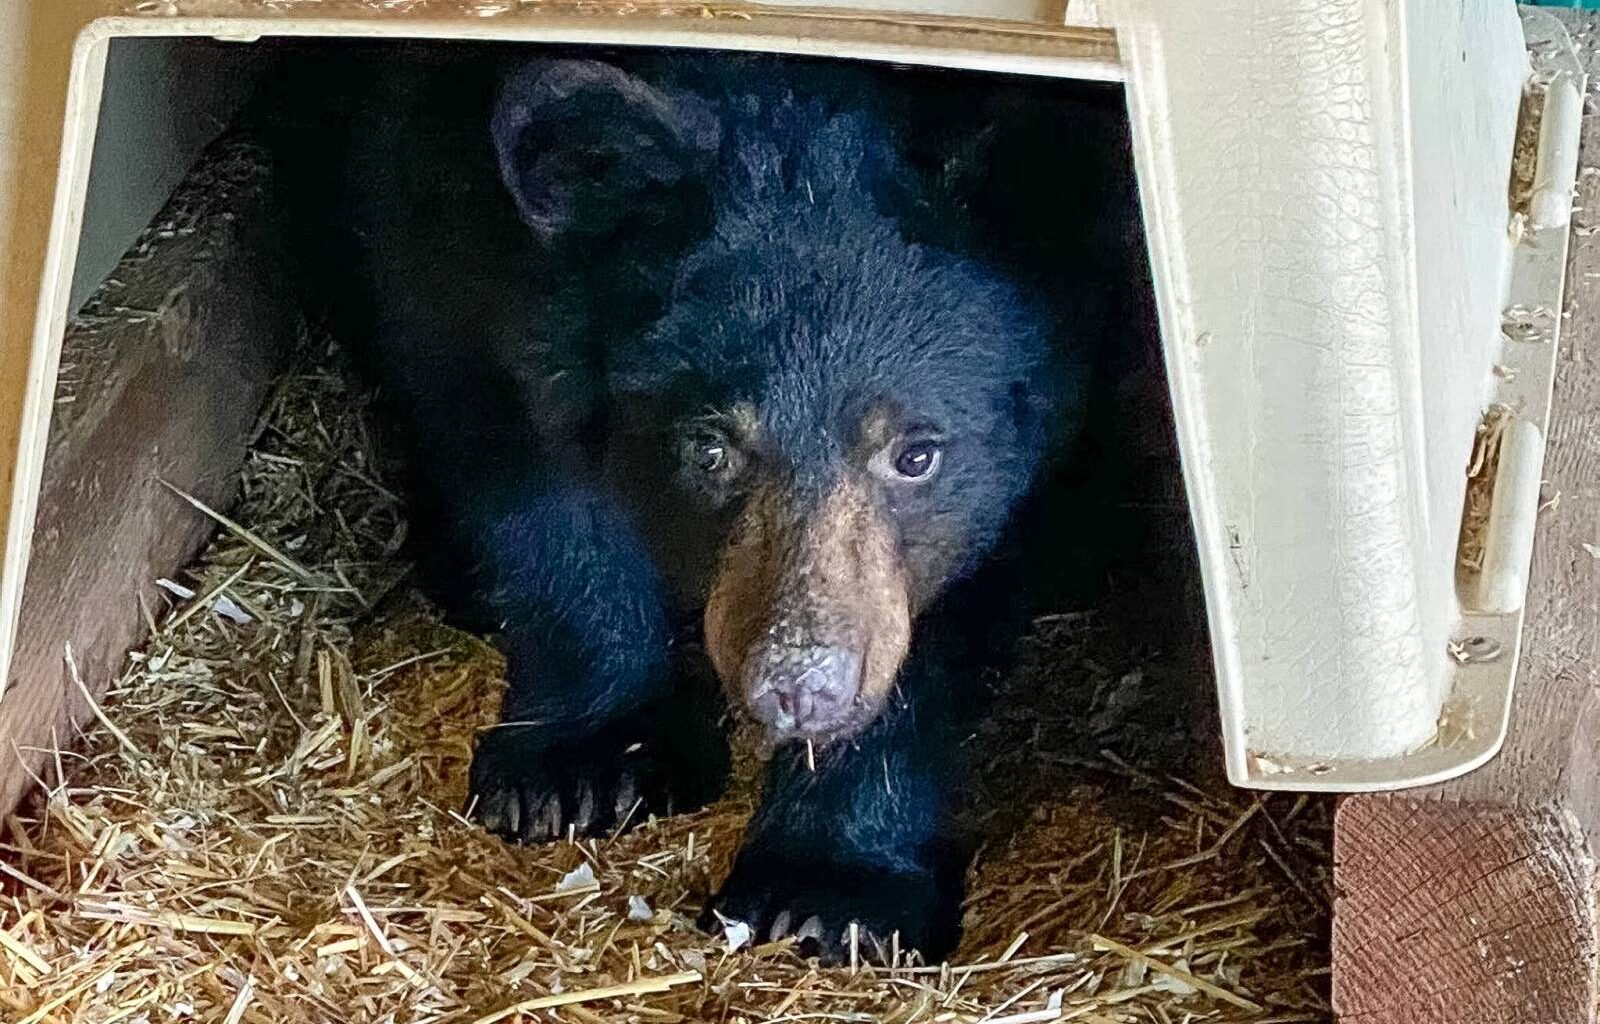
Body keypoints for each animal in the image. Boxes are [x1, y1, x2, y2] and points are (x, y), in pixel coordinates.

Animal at [272, 46, 1139, 962]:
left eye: (916, 453)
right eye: (711, 448)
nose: (798, 686)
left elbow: (954, 608)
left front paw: (829, 892)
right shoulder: (442, 213)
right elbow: (525, 469)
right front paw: (580, 764)